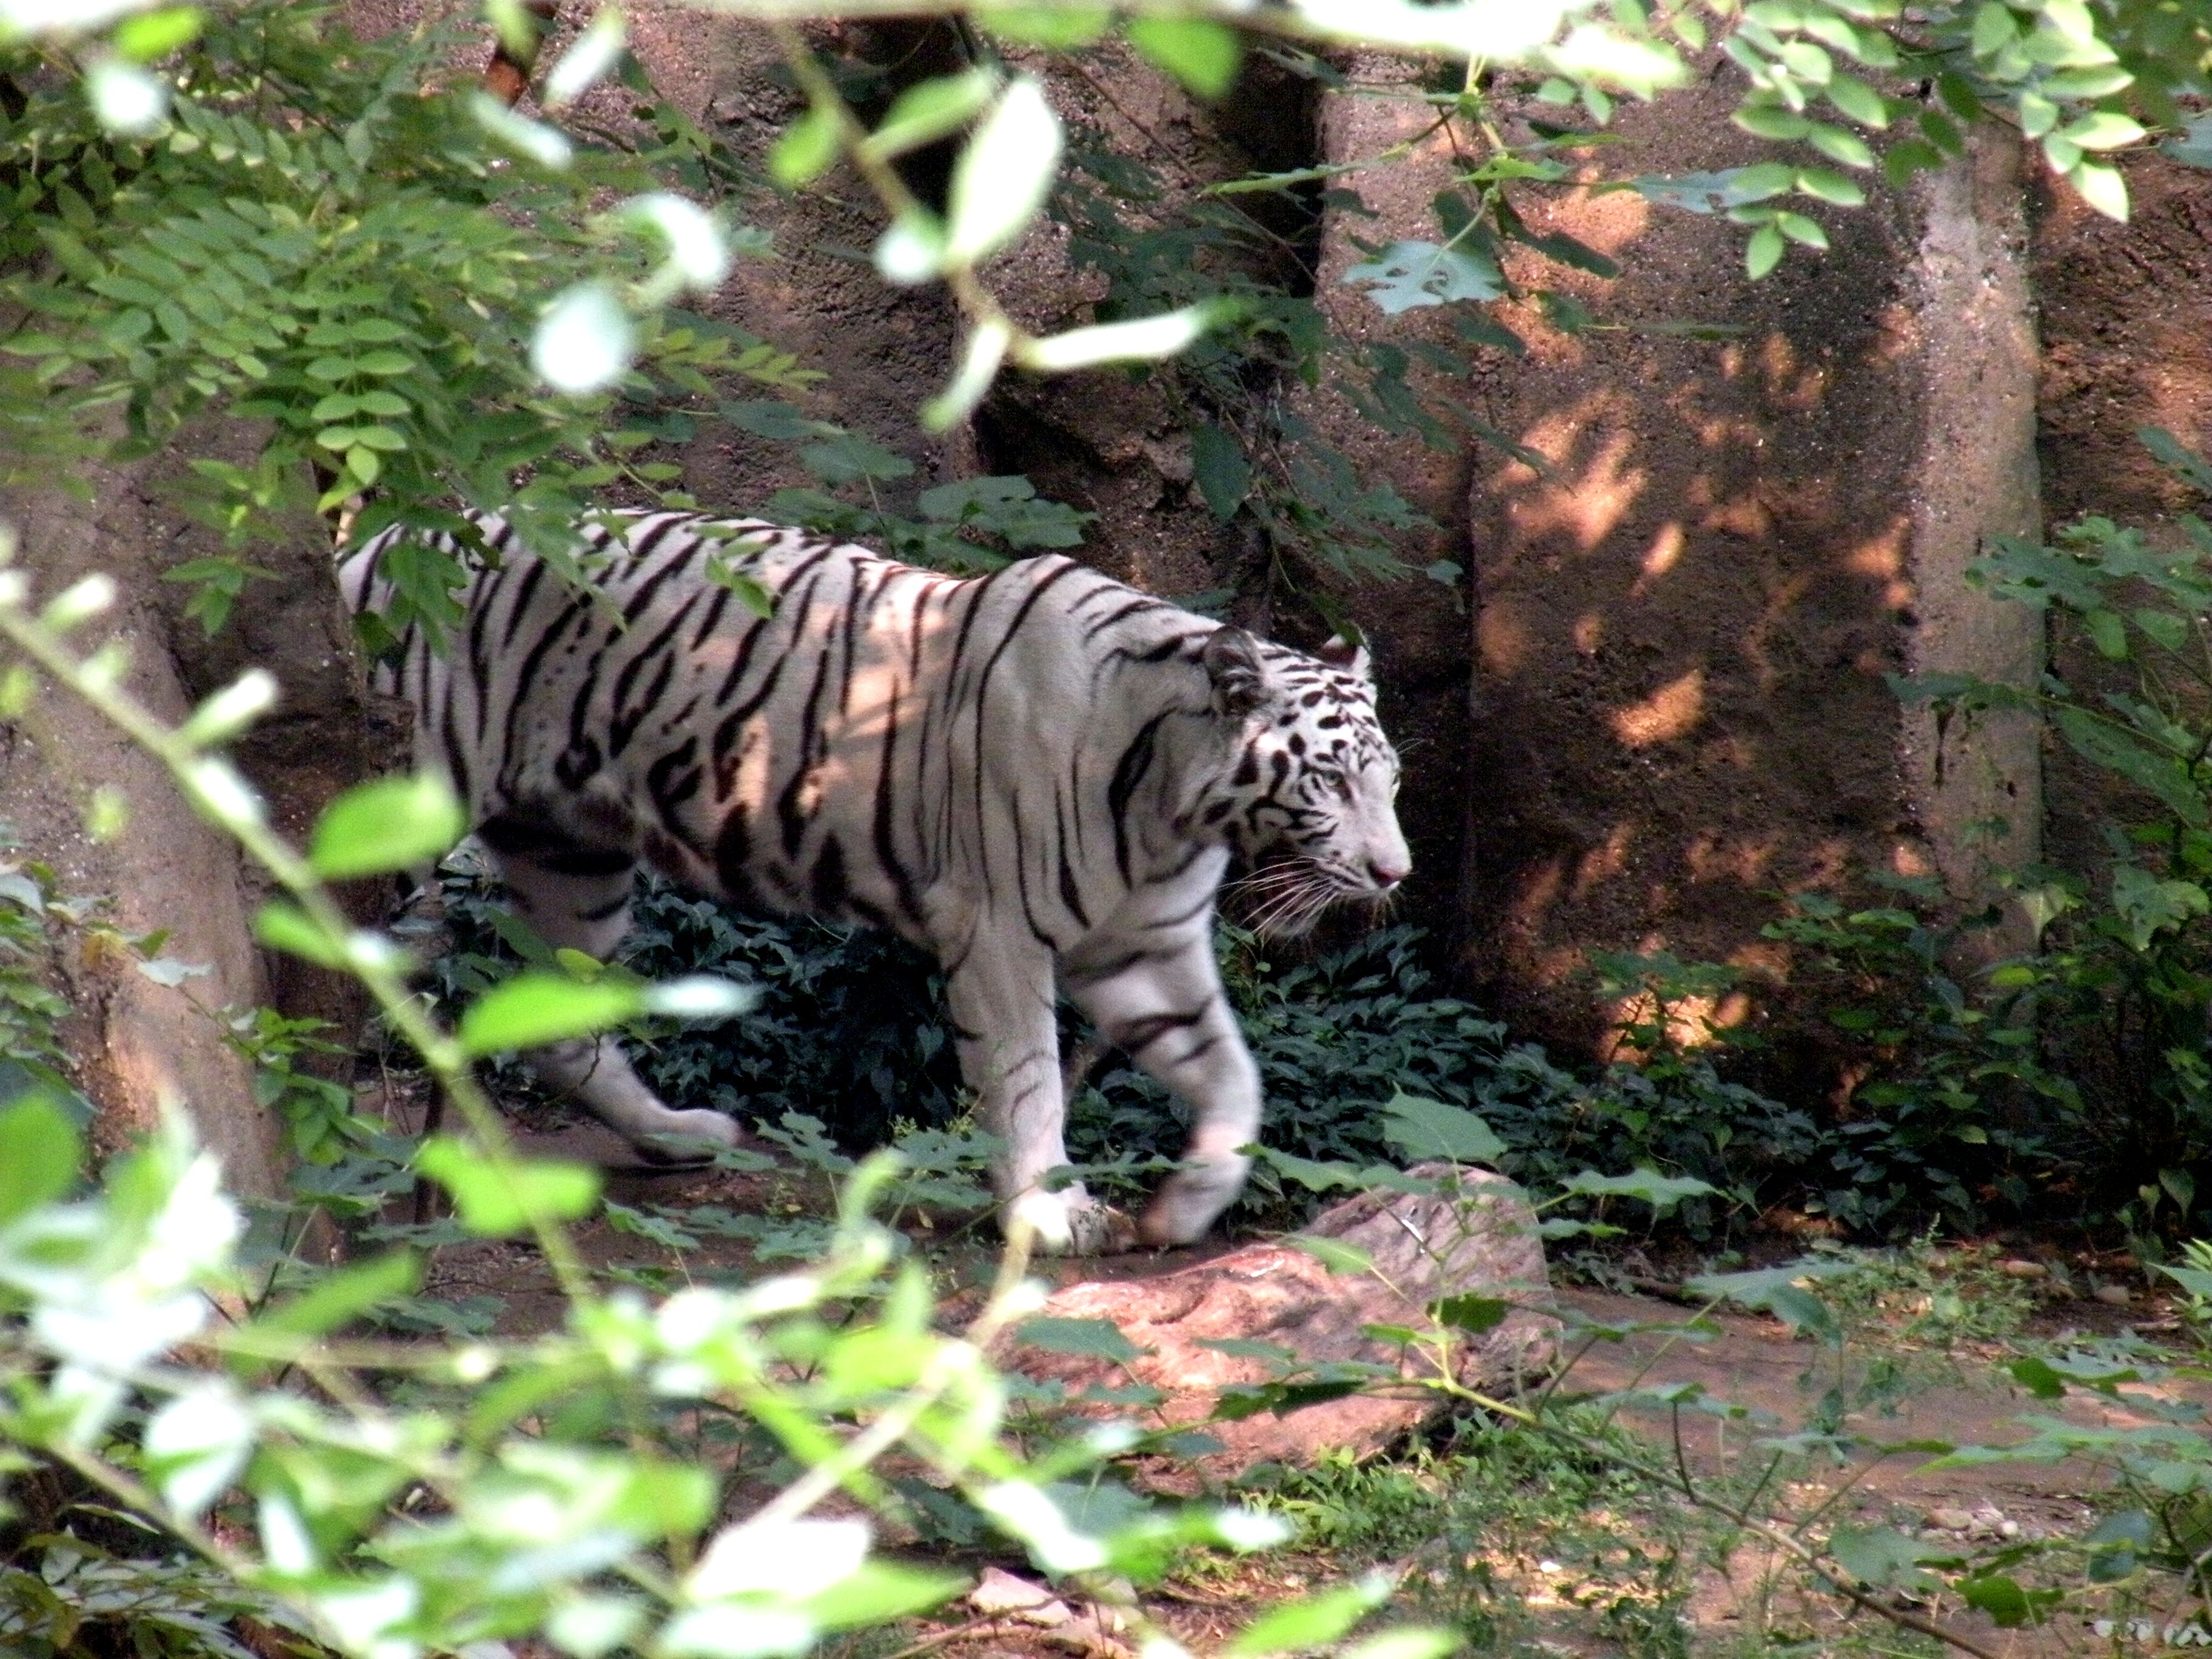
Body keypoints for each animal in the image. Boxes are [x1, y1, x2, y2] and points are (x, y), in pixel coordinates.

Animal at [345, 513, 1415, 1256]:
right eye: (1331, 780)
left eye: (1392, 781)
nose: (1395, 871)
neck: (1175, 808)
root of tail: (389, 542)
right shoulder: (999, 934)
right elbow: (1030, 1081)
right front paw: (1053, 1215)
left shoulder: (1147, 946)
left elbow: (1234, 1074)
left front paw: (1186, 1207)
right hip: (422, 821)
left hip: (576, 859)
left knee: (559, 1024)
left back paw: (677, 1135)